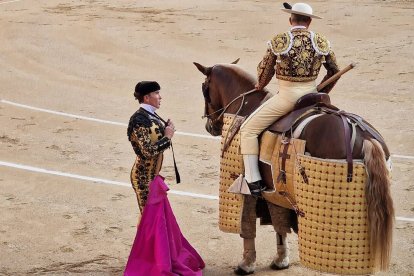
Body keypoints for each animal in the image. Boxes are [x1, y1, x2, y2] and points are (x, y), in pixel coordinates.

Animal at [194, 59, 394, 272]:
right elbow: (279, 225)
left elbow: (248, 227)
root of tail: (366, 138)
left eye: (204, 89)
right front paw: (281, 260)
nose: (210, 126)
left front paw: (246, 264)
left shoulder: (246, 189)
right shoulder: (276, 191)